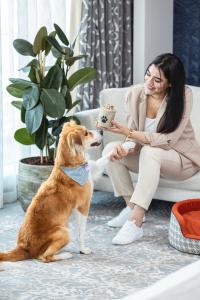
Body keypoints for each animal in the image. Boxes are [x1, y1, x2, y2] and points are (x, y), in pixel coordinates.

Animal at [0, 120, 100, 262]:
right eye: (86, 133)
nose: (101, 130)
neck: (71, 166)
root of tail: (24, 248)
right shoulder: (83, 207)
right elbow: (81, 233)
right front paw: (83, 250)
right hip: (64, 231)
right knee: (44, 257)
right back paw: (65, 254)